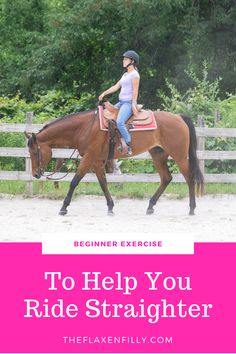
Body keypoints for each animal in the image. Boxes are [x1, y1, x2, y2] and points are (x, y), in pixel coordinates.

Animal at [24, 107, 204, 216]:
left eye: (34, 151)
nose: (36, 173)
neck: (84, 127)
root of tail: (179, 117)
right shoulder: (97, 161)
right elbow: (103, 183)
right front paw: (110, 207)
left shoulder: (89, 158)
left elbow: (75, 181)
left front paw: (63, 207)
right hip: (158, 154)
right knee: (166, 178)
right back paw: (150, 206)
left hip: (179, 155)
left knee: (189, 177)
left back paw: (192, 208)